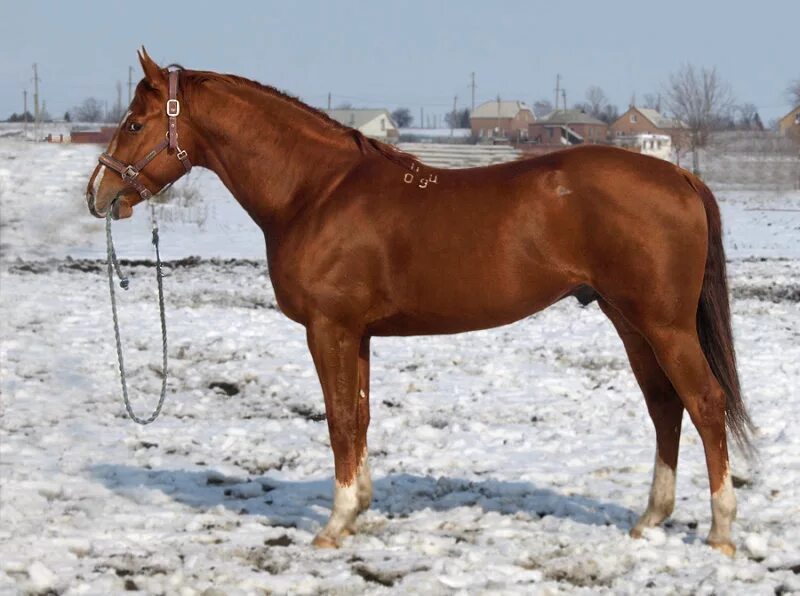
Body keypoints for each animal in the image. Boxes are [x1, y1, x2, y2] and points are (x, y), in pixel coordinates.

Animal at [89, 50, 756, 556]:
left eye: (134, 124)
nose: (99, 194)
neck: (316, 192)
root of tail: (679, 177)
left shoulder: (328, 329)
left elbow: (338, 420)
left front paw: (333, 526)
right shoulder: (356, 333)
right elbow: (358, 417)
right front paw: (359, 509)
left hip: (663, 325)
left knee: (703, 403)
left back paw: (721, 533)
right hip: (631, 322)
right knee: (665, 407)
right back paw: (649, 520)